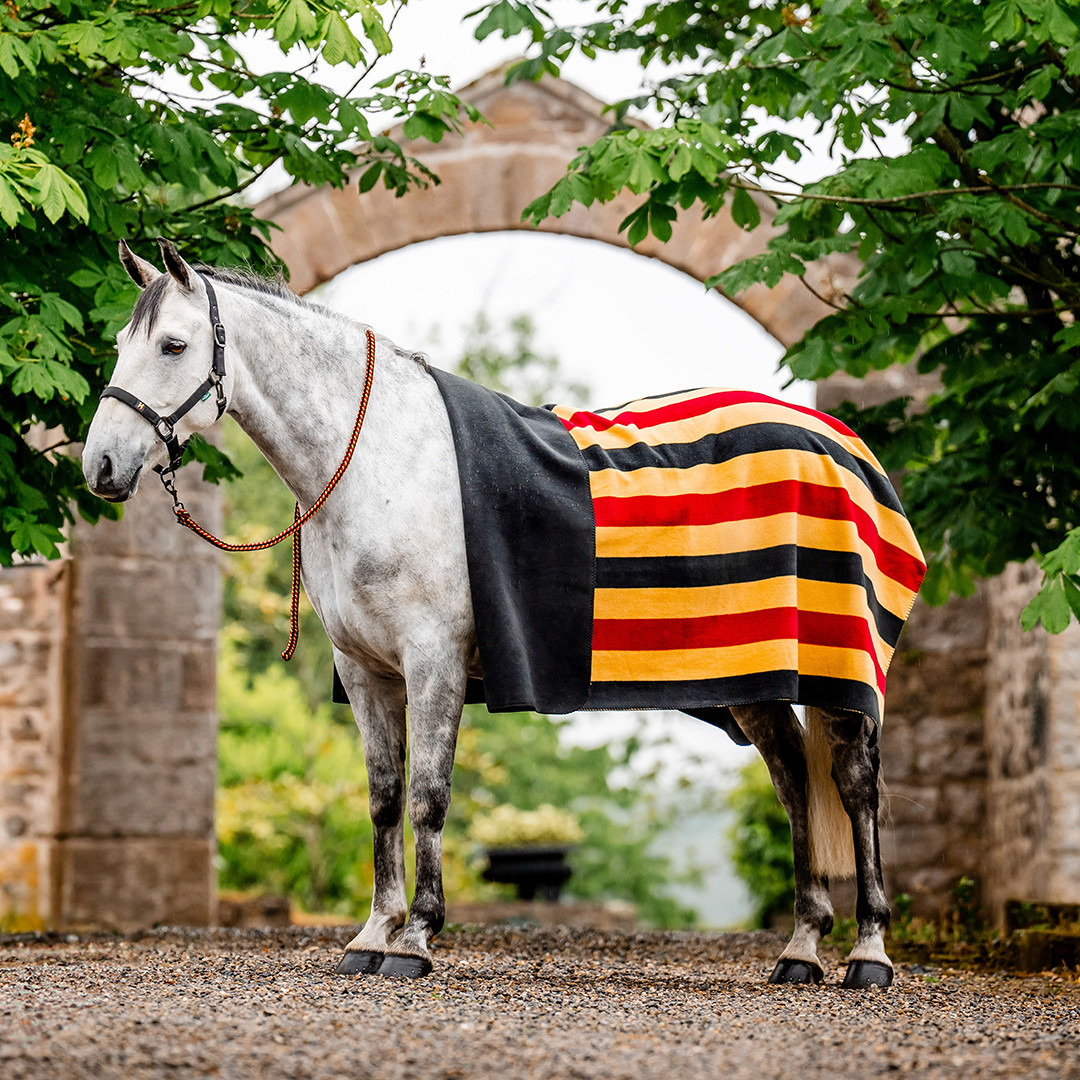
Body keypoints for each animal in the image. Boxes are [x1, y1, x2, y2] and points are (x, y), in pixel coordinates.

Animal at [83, 238, 923, 988]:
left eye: (173, 344)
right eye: (123, 344)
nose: (101, 467)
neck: (379, 462)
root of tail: (841, 444)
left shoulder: (434, 662)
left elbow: (428, 796)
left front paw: (416, 940)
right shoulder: (365, 671)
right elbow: (384, 799)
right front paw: (370, 936)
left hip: (838, 673)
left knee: (855, 787)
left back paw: (868, 954)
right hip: (754, 678)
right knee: (795, 783)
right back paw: (801, 950)